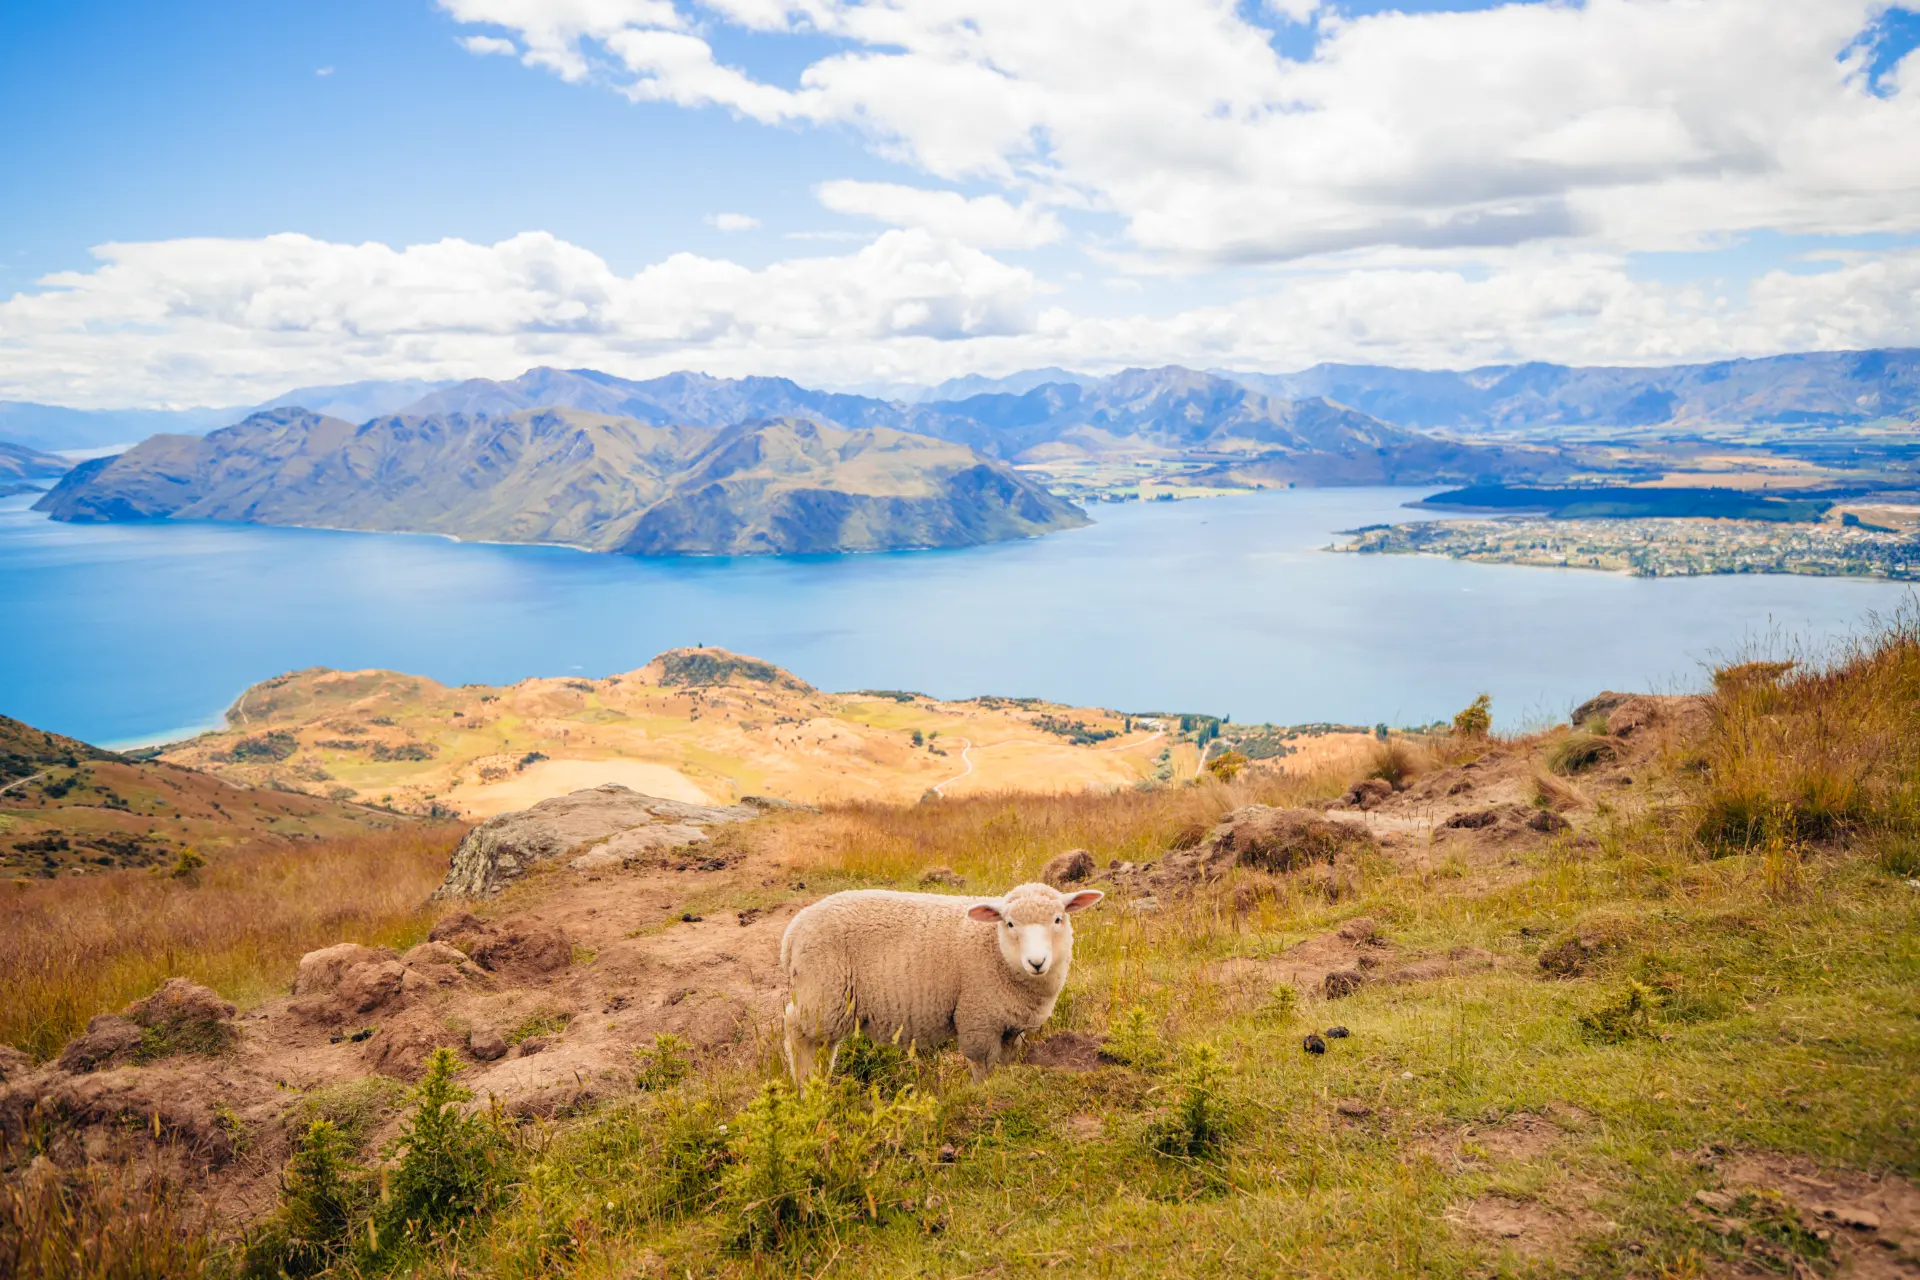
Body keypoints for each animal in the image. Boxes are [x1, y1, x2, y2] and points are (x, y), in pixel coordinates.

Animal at [780, 881, 1104, 1084]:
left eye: (1058, 919)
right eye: (1010, 923)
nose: (1037, 962)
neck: (996, 950)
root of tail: (793, 932)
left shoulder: (1011, 1026)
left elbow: (1006, 1062)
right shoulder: (977, 1018)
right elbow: (983, 1067)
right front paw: (985, 1095)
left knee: (824, 1045)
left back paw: (821, 1080)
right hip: (822, 993)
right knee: (797, 1033)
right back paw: (807, 1088)